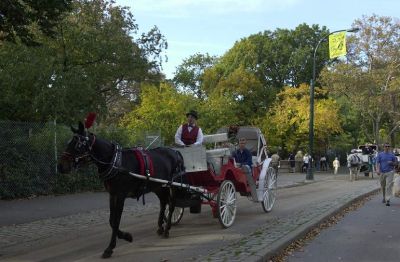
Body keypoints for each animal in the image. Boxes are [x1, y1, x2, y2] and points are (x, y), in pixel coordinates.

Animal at [57, 122, 186, 258]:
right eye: (69, 142)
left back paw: (167, 229)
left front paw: (110, 248)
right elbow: (111, 220)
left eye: (77, 144)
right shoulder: (112, 194)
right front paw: (126, 236)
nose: (60, 166)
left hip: (171, 185)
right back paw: (161, 227)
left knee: (171, 204)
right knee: (163, 202)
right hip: (158, 186)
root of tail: (175, 152)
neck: (115, 162)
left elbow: (116, 220)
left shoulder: (120, 195)